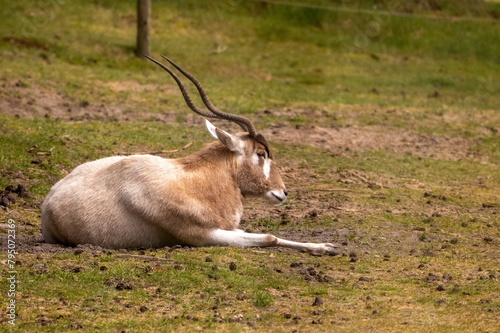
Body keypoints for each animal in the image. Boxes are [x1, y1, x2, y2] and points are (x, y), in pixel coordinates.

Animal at [41, 55, 340, 254]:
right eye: (261, 153)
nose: (283, 191)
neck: (196, 182)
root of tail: (48, 201)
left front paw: (327, 246)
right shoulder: (203, 235)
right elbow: (269, 237)